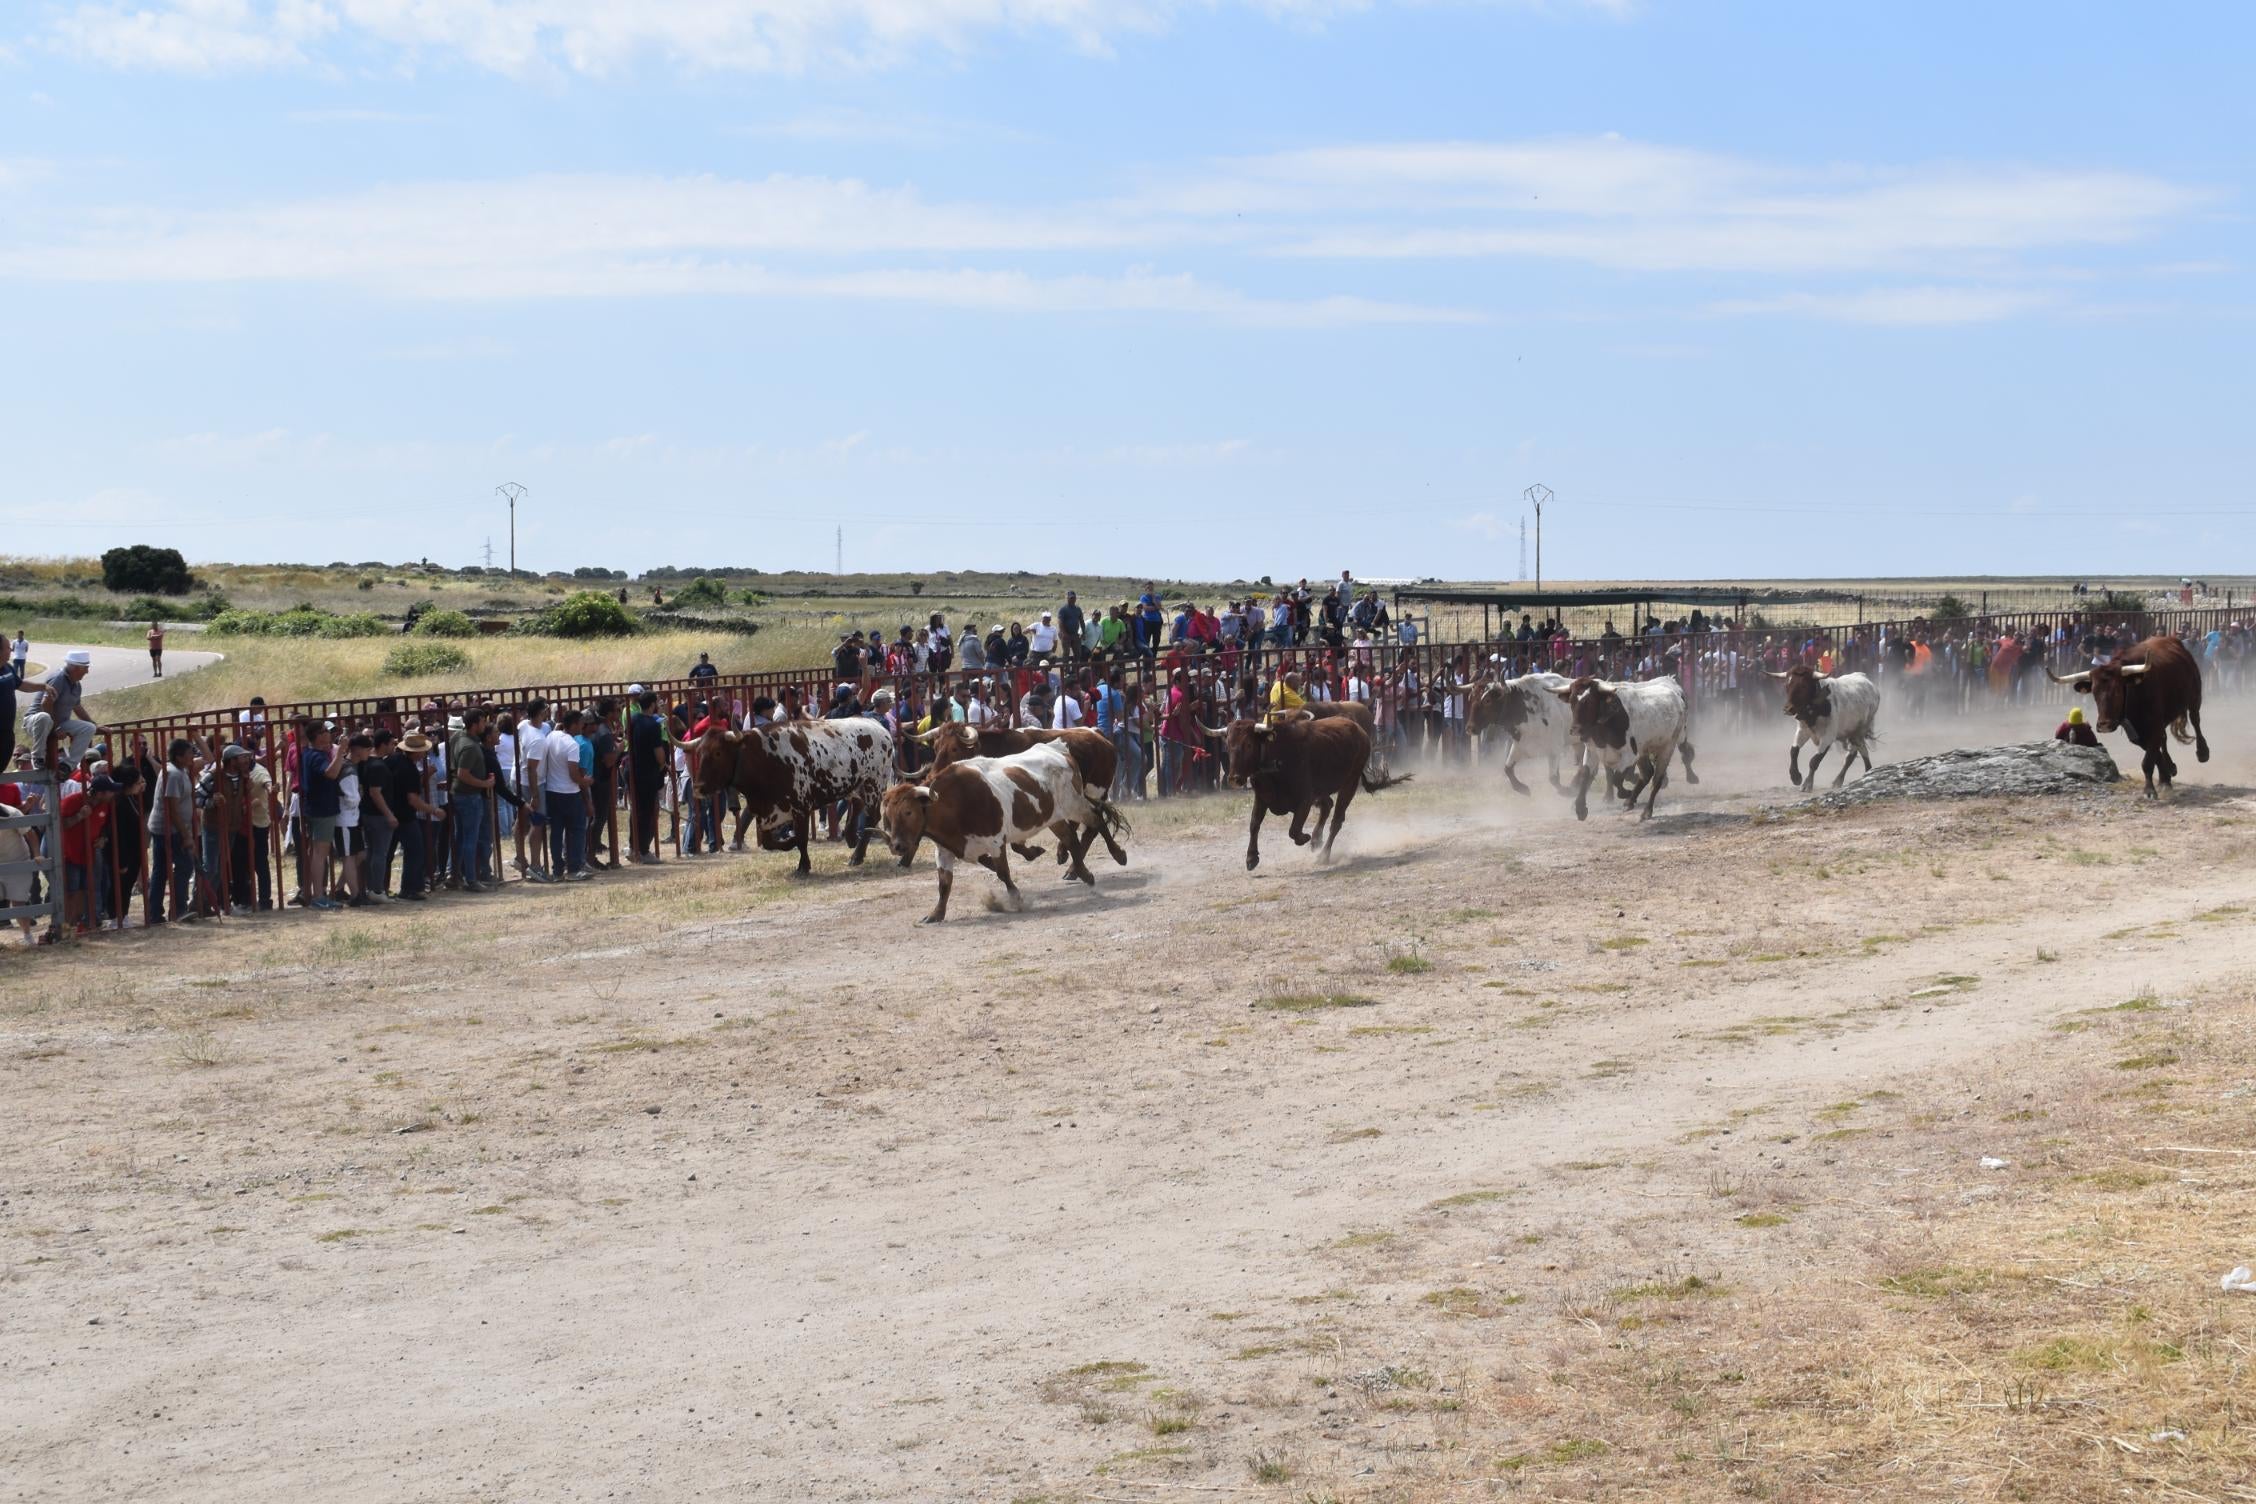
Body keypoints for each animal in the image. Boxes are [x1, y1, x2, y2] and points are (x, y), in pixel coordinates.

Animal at [690, 721, 893, 874]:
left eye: (717, 752)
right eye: (699, 753)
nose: (698, 788)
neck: (764, 758)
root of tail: (880, 728)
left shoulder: (801, 809)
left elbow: (802, 839)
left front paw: (803, 866)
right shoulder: (766, 814)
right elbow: (769, 842)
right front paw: (790, 844)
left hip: (874, 785)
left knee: (872, 817)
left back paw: (856, 855)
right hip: (856, 786)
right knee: (857, 805)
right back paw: (851, 838)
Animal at [879, 744, 1128, 924]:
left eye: (908, 811)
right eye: (888, 815)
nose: (897, 846)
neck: (955, 803)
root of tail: (1062, 753)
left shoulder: (995, 841)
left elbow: (1002, 872)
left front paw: (1016, 899)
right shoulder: (944, 850)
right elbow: (944, 884)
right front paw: (936, 914)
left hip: (1075, 804)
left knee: (1097, 820)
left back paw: (1118, 855)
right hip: (1054, 817)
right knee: (1071, 839)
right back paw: (1084, 873)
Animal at [1200, 717, 1407, 874]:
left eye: (1249, 744)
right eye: (1228, 744)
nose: (1234, 778)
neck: (1275, 760)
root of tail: (1360, 731)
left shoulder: (1305, 800)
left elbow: (1293, 830)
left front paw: (1305, 838)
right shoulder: (1262, 798)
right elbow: (1254, 824)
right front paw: (1251, 858)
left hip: (1350, 783)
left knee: (1336, 820)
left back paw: (1323, 854)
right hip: (1323, 790)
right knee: (1327, 805)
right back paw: (1316, 841)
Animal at [2057, 635, 2210, 798]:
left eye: (2117, 691)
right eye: (2095, 693)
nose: (2104, 725)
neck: (2135, 694)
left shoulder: (2154, 726)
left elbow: (2148, 761)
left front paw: (2149, 790)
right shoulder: (2137, 734)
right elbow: (2155, 756)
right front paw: (2165, 778)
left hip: (2195, 697)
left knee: (2195, 720)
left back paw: (2203, 753)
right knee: (2164, 739)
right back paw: (2170, 769)